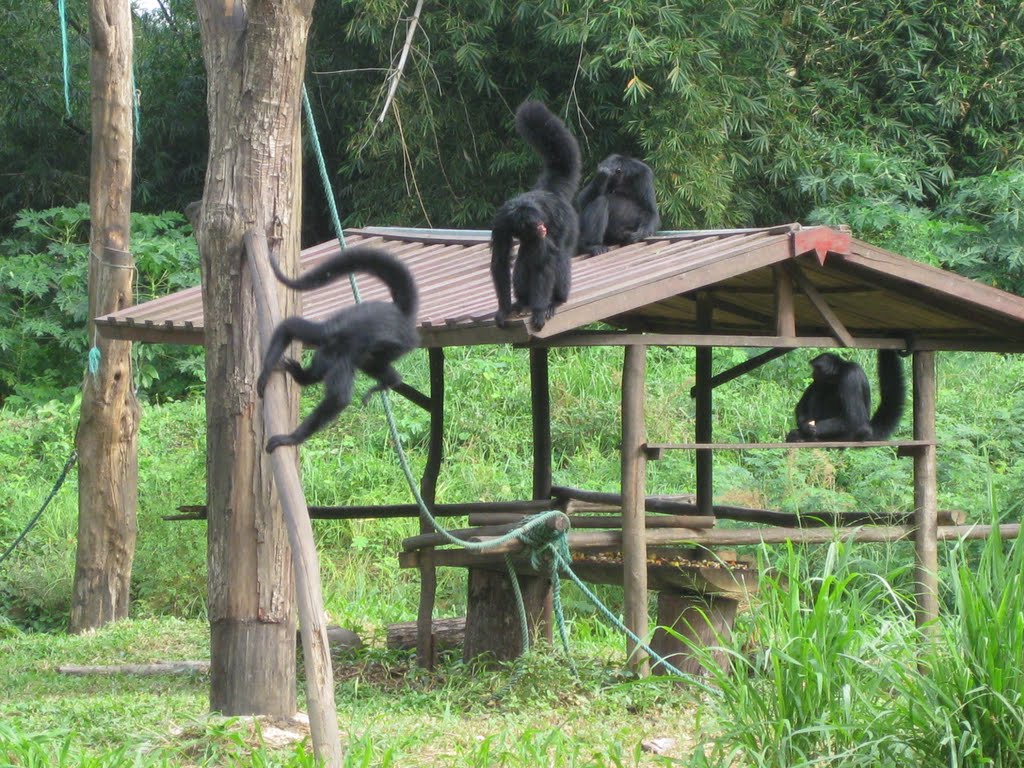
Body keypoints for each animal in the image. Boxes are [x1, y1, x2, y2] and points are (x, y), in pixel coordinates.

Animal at [256, 246, 419, 454]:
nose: (308, 375)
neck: (333, 346)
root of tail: (400, 314)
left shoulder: (341, 361)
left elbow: (338, 399)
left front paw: (291, 438)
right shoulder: (321, 335)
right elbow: (288, 326)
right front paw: (267, 373)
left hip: (401, 345)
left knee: (371, 359)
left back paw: (389, 381)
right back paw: (390, 380)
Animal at [489, 99, 581, 331]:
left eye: (539, 222)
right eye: (532, 224)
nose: (541, 227)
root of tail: (549, 190)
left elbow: (545, 261)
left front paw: (540, 310)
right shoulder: (502, 222)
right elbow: (501, 260)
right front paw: (504, 310)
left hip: (569, 221)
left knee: (557, 254)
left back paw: (555, 300)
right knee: (525, 254)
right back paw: (522, 300)